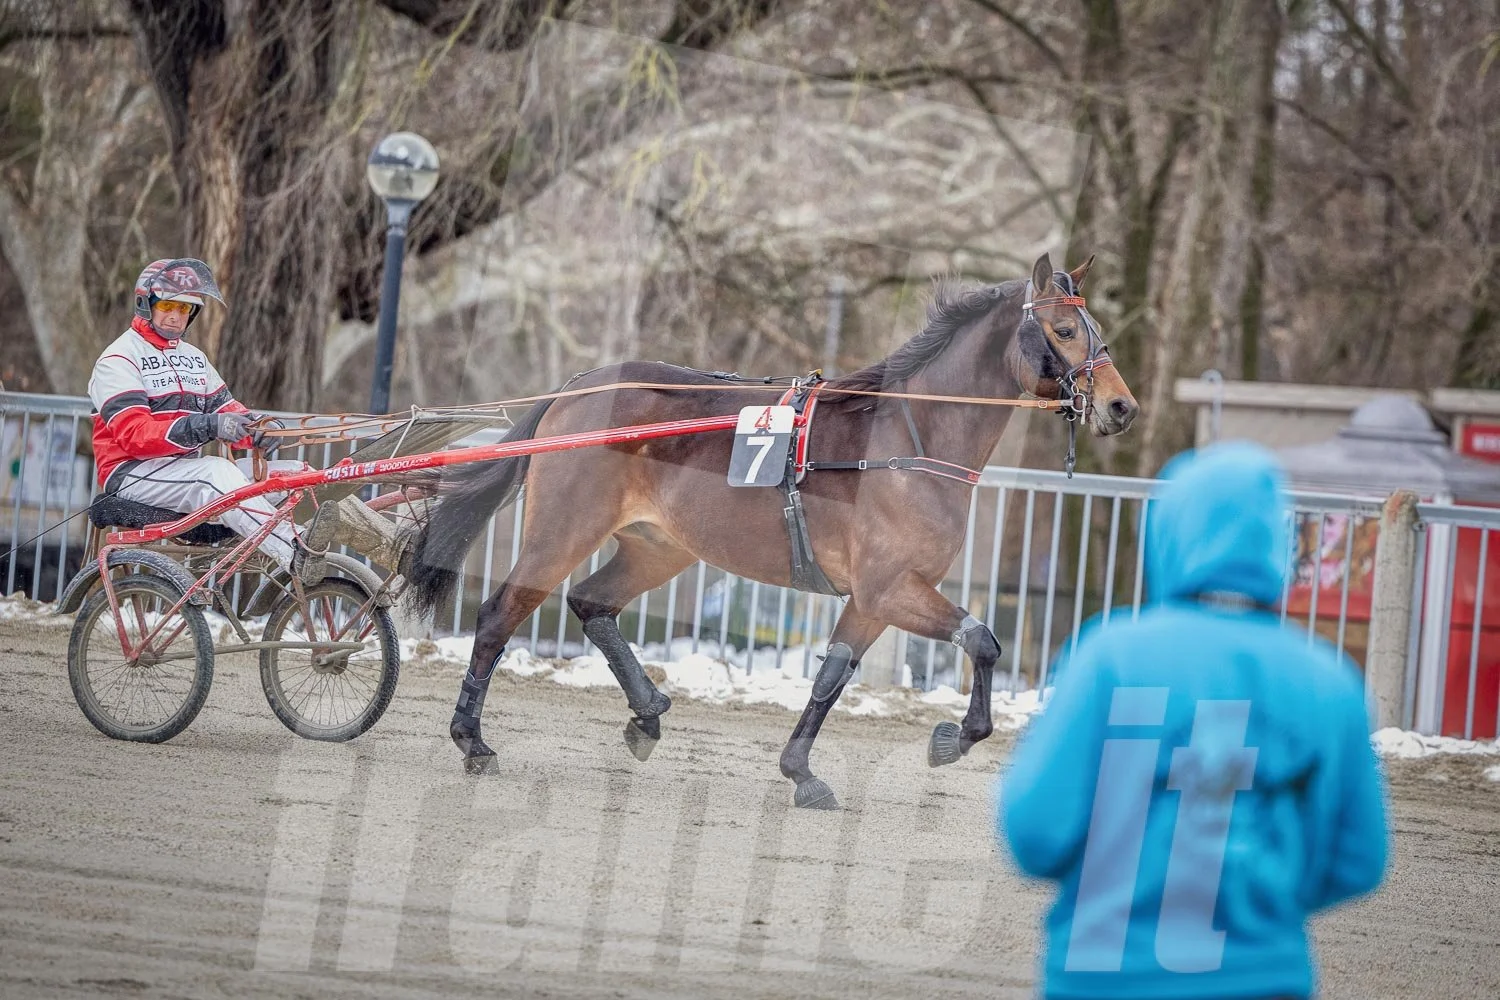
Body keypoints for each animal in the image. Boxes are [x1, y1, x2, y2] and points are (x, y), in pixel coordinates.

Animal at [406, 252, 1138, 808]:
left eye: (1096, 327)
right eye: (1065, 330)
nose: (1121, 406)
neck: (909, 438)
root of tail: (579, 386)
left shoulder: (875, 598)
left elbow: (835, 675)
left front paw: (804, 771)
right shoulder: (888, 587)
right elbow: (982, 640)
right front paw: (949, 740)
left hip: (660, 547)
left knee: (592, 603)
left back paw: (647, 712)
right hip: (561, 531)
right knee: (500, 614)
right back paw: (472, 740)